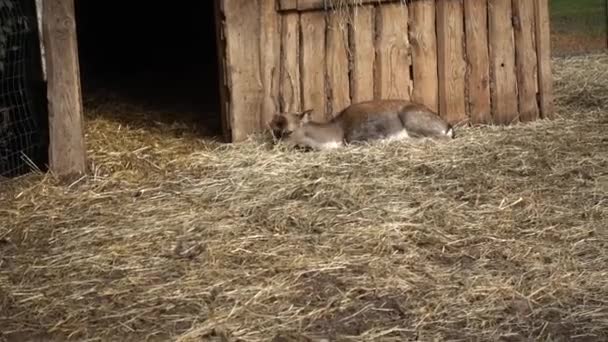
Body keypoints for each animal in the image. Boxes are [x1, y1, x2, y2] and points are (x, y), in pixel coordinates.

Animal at [268, 98, 454, 150]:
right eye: (274, 131)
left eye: (289, 131)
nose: (277, 147)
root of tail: (447, 126)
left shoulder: (361, 137)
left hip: (412, 118)